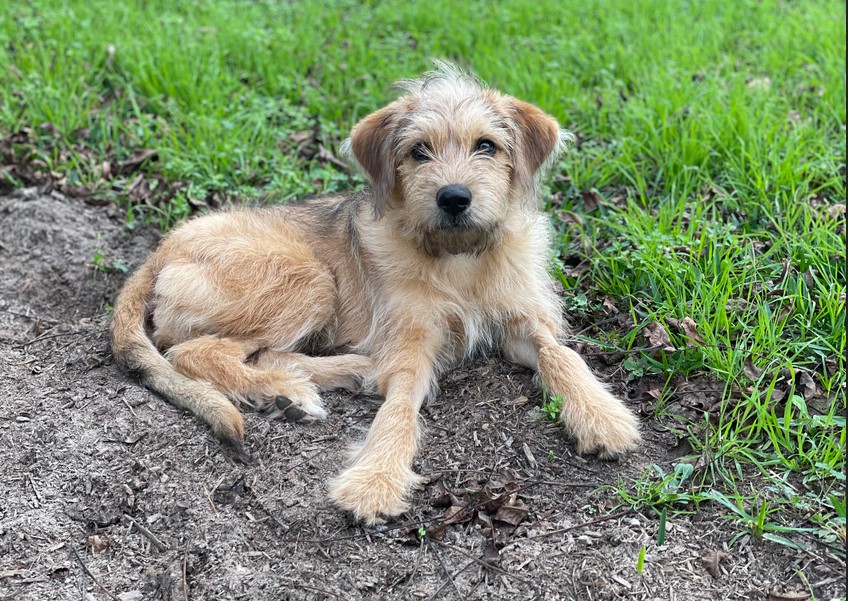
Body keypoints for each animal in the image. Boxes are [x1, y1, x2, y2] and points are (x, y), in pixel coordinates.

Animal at [112, 59, 644, 520]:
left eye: (487, 146)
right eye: (419, 151)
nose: (454, 198)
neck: (459, 257)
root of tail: (163, 248)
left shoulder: (520, 320)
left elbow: (560, 354)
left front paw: (601, 416)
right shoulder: (411, 337)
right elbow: (400, 407)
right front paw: (376, 479)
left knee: (259, 354)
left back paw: (331, 377)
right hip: (307, 279)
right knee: (196, 353)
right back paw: (290, 389)